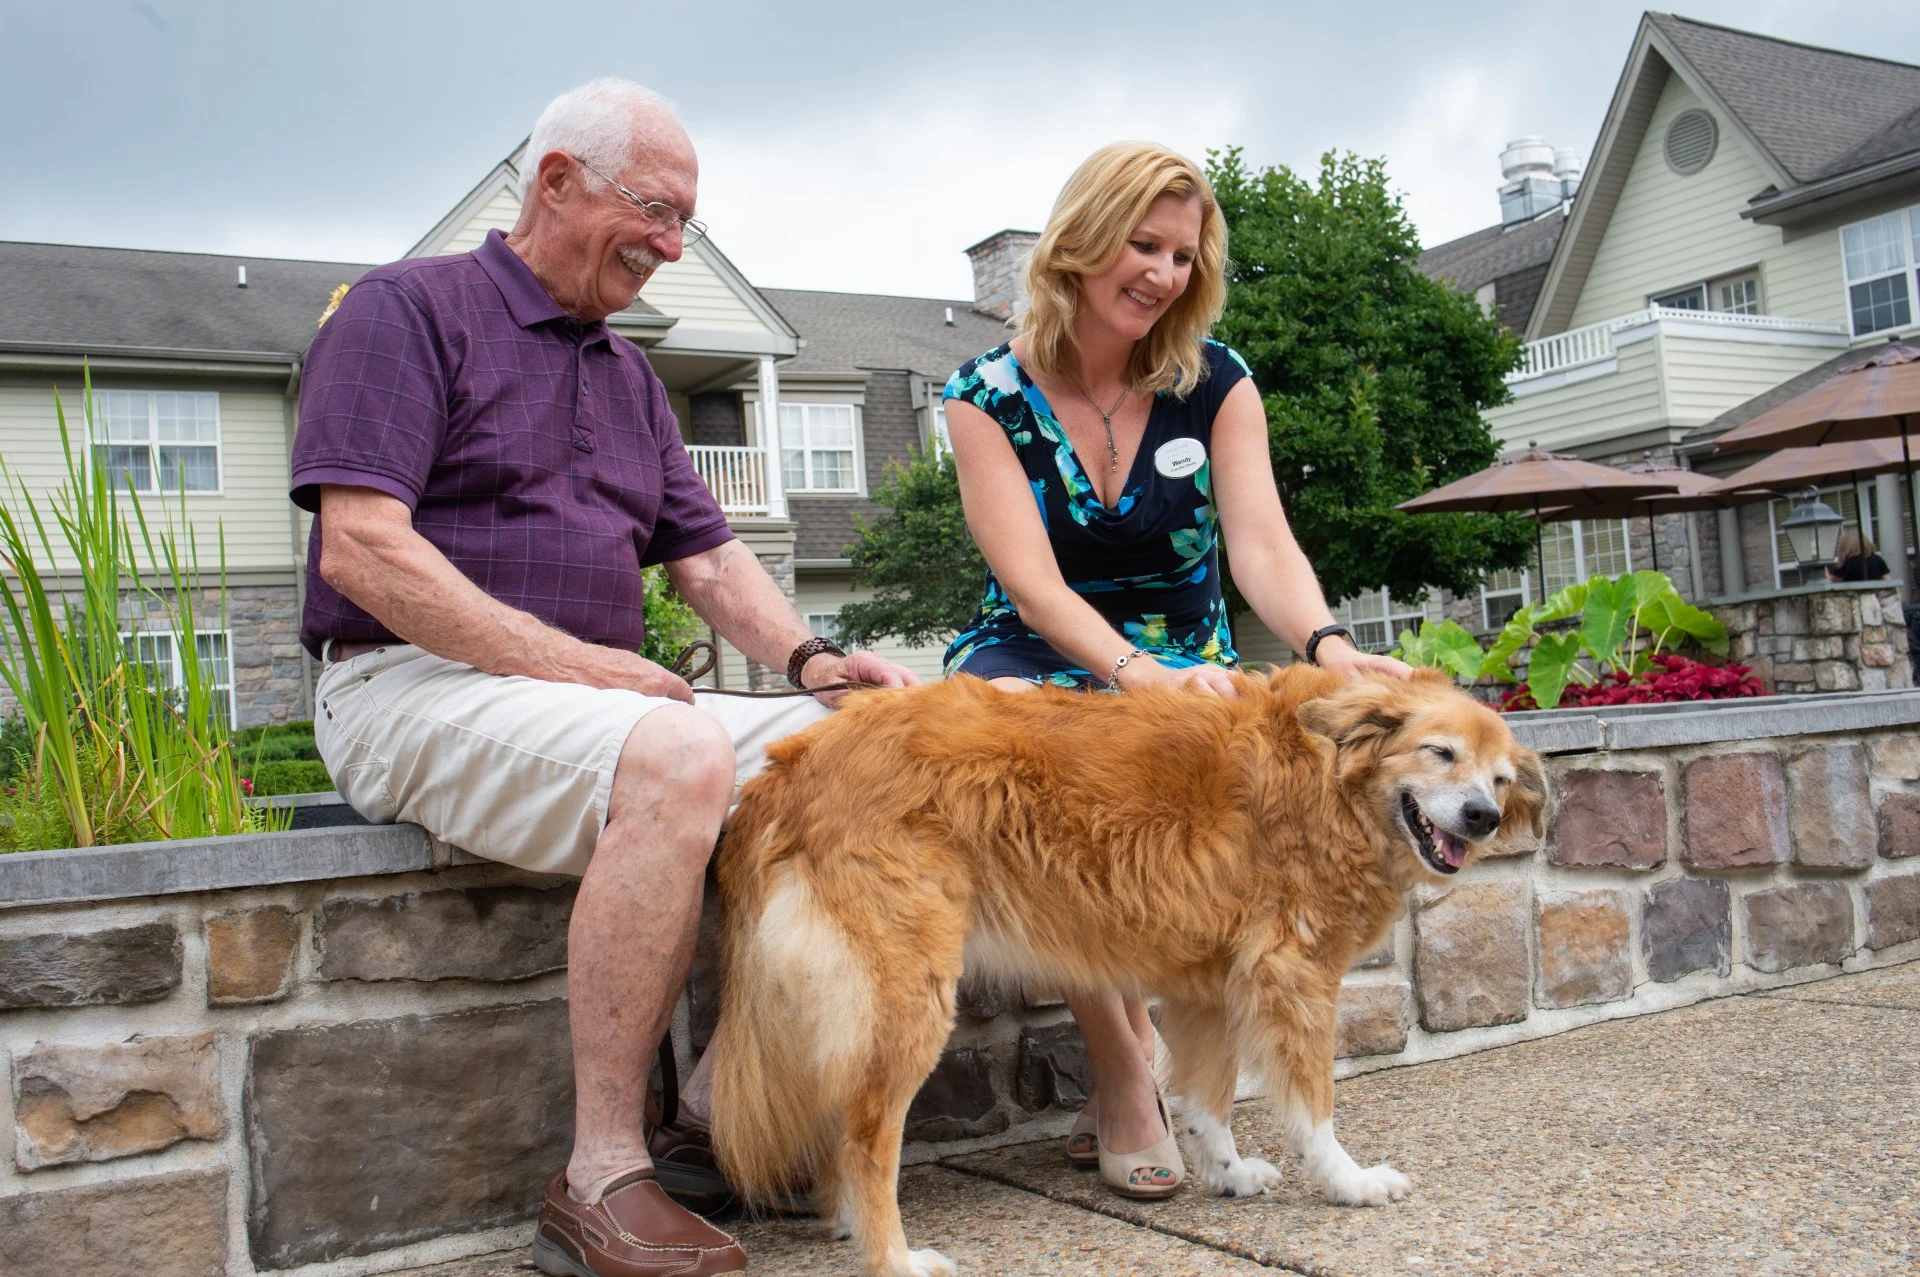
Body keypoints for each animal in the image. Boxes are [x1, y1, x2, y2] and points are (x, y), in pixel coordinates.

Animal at [706, 660, 1543, 1267]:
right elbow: (1312, 1106)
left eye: (1501, 777)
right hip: (907, 999)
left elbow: (1206, 1098)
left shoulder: (1212, 988)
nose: (1483, 817)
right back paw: (894, 1257)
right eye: (1441, 752)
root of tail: (787, 767)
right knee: (864, 1141)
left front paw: (1227, 1173)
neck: (1335, 776)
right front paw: (1347, 1180)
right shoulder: (1294, 978)